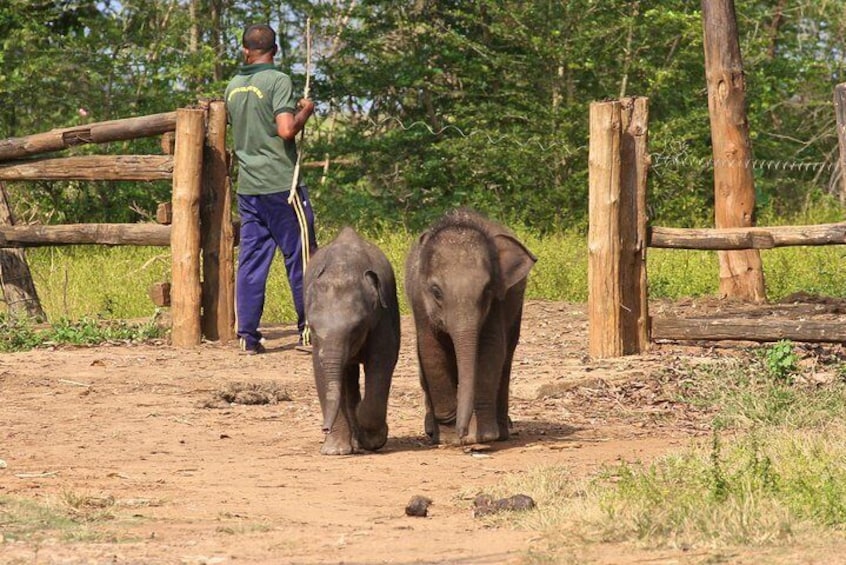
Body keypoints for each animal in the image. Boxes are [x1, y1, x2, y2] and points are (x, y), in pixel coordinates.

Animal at [304, 226, 400, 454]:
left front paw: (373, 438)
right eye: (312, 328)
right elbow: (320, 370)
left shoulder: (381, 317)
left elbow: (382, 361)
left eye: (356, 328)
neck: (342, 268)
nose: (324, 428)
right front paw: (335, 451)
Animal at [404, 207, 536, 446]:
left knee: (506, 358)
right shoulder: (419, 302)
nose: (463, 434)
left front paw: (484, 436)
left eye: (487, 290)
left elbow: (491, 349)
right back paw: (432, 431)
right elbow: (431, 351)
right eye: (436, 292)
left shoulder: (498, 302)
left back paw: (502, 432)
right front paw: (449, 438)